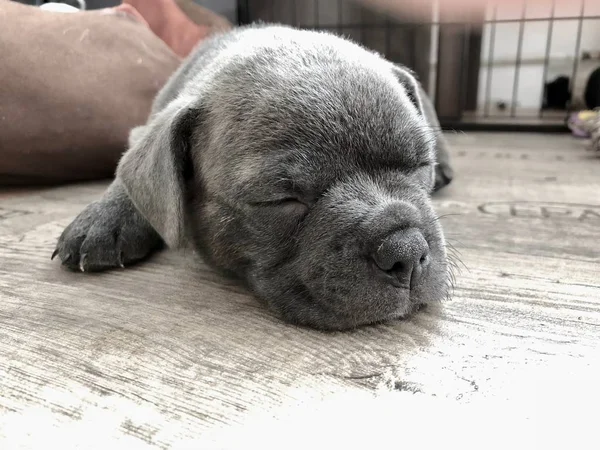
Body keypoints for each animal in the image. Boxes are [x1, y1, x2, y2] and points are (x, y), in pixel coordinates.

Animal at [52, 24, 454, 330]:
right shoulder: (142, 133)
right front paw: (105, 217)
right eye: (280, 201)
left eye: (421, 165)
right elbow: (126, 175)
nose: (406, 251)